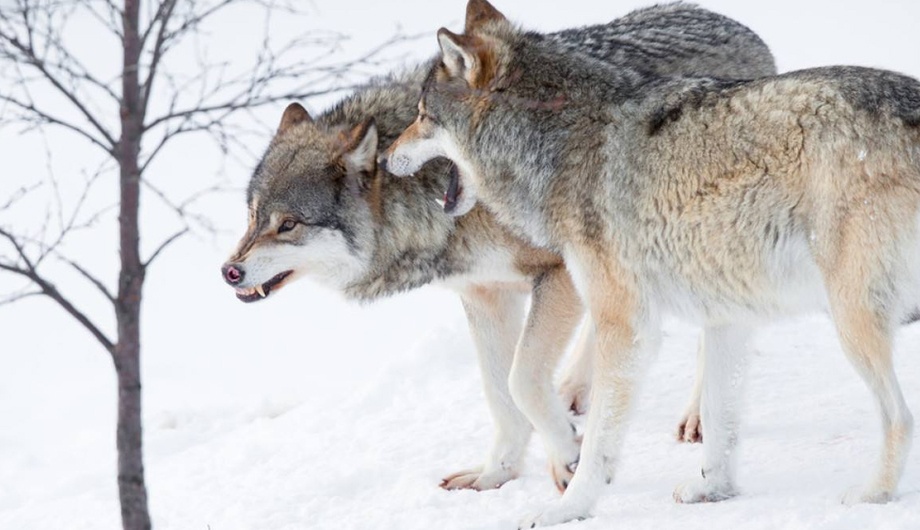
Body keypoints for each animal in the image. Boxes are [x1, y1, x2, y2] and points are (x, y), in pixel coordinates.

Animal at [223, 0, 776, 490]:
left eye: (288, 225)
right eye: (252, 217)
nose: (229, 272)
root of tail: (738, 25)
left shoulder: (556, 274)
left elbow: (520, 380)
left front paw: (568, 456)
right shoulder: (485, 294)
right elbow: (500, 393)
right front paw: (498, 473)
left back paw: (694, 416)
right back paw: (575, 389)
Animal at [380, 0, 920, 520]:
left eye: (422, 114)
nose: (385, 158)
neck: (556, 139)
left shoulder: (625, 324)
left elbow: (589, 435)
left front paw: (570, 505)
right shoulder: (725, 316)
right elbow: (720, 422)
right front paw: (713, 491)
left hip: (851, 317)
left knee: (900, 416)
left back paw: (874, 494)